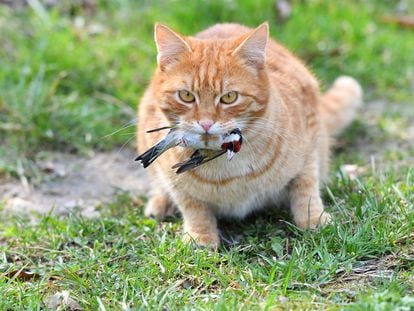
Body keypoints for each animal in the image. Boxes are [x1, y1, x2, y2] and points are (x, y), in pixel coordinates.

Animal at [137, 22, 362, 249]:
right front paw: (200, 237)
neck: (228, 170)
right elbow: (193, 207)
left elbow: (306, 189)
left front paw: (314, 220)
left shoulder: (309, 146)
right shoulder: (175, 181)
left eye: (229, 97)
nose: (206, 123)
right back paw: (160, 203)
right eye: (186, 96)